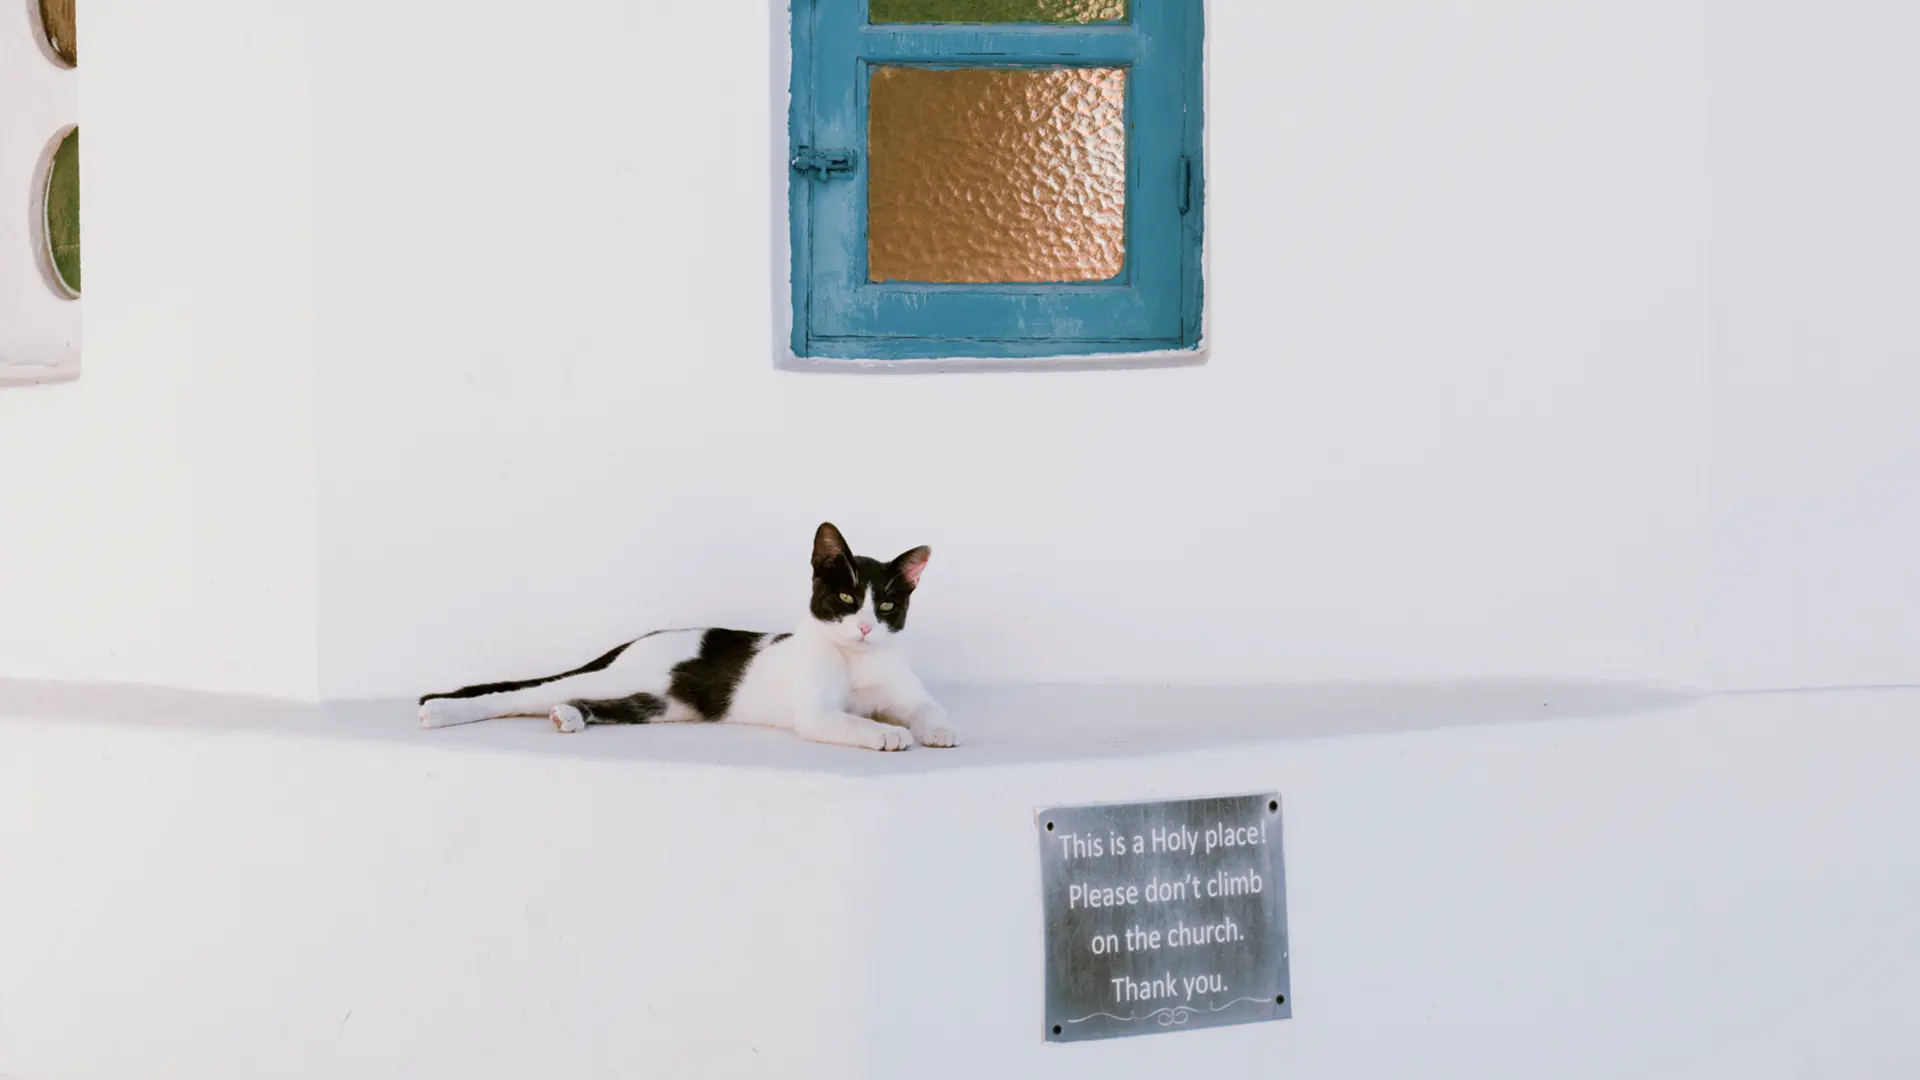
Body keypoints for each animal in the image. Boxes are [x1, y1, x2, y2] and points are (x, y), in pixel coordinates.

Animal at [420, 522, 960, 749]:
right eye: (847, 599)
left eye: (887, 606)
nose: (866, 627)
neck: (857, 660)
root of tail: (639, 639)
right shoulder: (819, 714)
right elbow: (853, 721)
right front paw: (889, 733)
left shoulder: (906, 691)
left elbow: (928, 706)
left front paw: (940, 728)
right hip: (625, 678)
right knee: (516, 695)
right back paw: (442, 710)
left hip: (663, 705)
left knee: (599, 702)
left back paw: (568, 716)